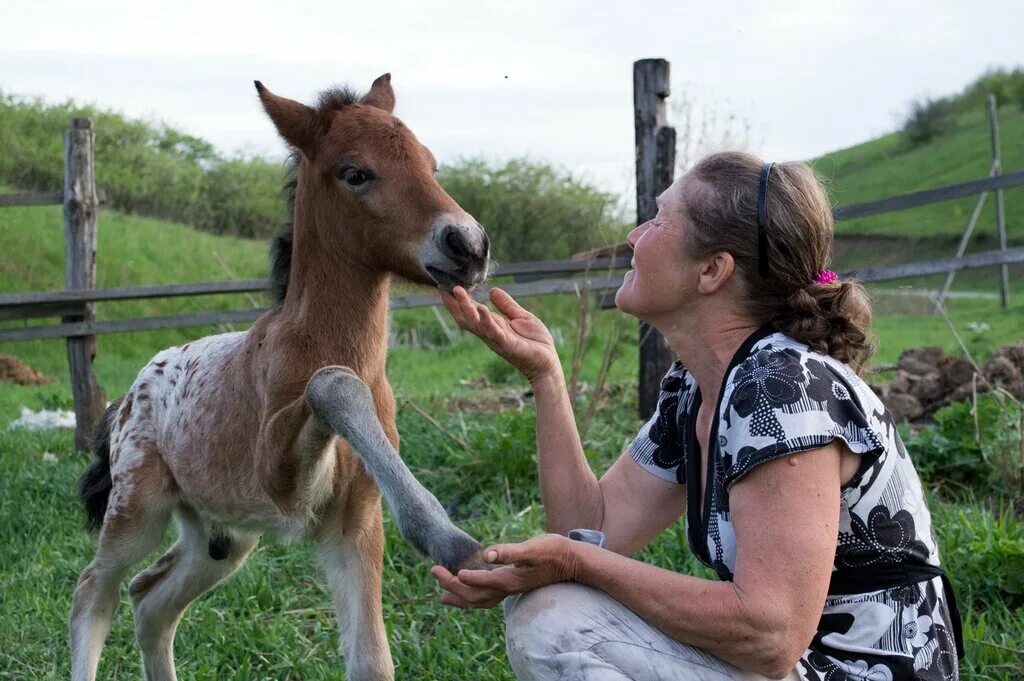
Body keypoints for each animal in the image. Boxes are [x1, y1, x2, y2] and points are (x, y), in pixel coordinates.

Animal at [69, 74, 491, 679]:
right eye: (355, 173)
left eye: (431, 165)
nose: (469, 246)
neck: (322, 344)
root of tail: (128, 396)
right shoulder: (280, 479)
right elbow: (331, 383)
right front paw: (452, 541)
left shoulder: (356, 523)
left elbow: (372, 663)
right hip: (136, 509)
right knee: (94, 589)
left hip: (221, 538)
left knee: (150, 600)